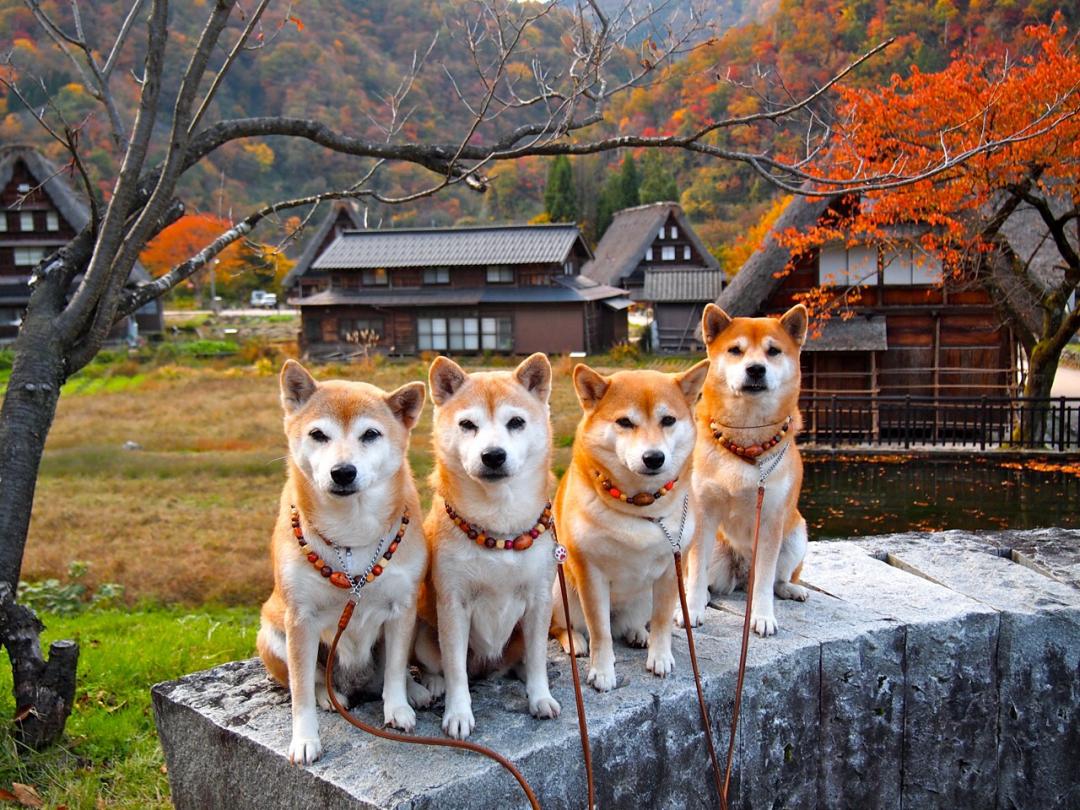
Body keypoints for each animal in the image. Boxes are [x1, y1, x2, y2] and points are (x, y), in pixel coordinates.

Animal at [257, 360, 429, 768]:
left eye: (371, 434)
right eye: (318, 434)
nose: (343, 471)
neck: (351, 533)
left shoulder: (402, 608)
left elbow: (395, 669)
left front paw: (398, 707)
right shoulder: (300, 619)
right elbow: (301, 691)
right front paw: (305, 739)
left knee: (387, 671)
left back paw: (415, 690)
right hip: (273, 634)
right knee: (314, 679)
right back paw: (327, 696)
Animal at [412, 354, 561, 743]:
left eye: (516, 422)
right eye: (468, 425)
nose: (493, 455)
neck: (499, 526)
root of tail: (488, 667)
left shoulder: (540, 598)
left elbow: (537, 658)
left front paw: (540, 697)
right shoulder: (453, 603)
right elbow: (455, 670)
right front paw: (458, 713)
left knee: (522, 659)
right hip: (423, 633)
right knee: (438, 667)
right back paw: (434, 685)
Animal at [552, 365, 712, 695]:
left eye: (668, 420)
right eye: (625, 422)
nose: (653, 457)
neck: (641, 506)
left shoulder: (671, 569)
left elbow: (662, 620)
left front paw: (660, 657)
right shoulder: (591, 574)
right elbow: (600, 631)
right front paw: (602, 671)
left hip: (644, 597)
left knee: (632, 624)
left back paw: (638, 633)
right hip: (559, 594)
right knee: (566, 627)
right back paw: (576, 642)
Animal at [686, 302, 812, 639]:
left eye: (773, 351)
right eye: (735, 350)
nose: (755, 369)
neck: (746, 439)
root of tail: (742, 572)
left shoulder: (770, 519)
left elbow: (765, 581)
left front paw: (763, 616)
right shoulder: (703, 511)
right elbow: (696, 570)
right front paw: (691, 609)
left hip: (795, 535)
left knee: (776, 578)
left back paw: (791, 589)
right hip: (718, 549)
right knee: (703, 576)